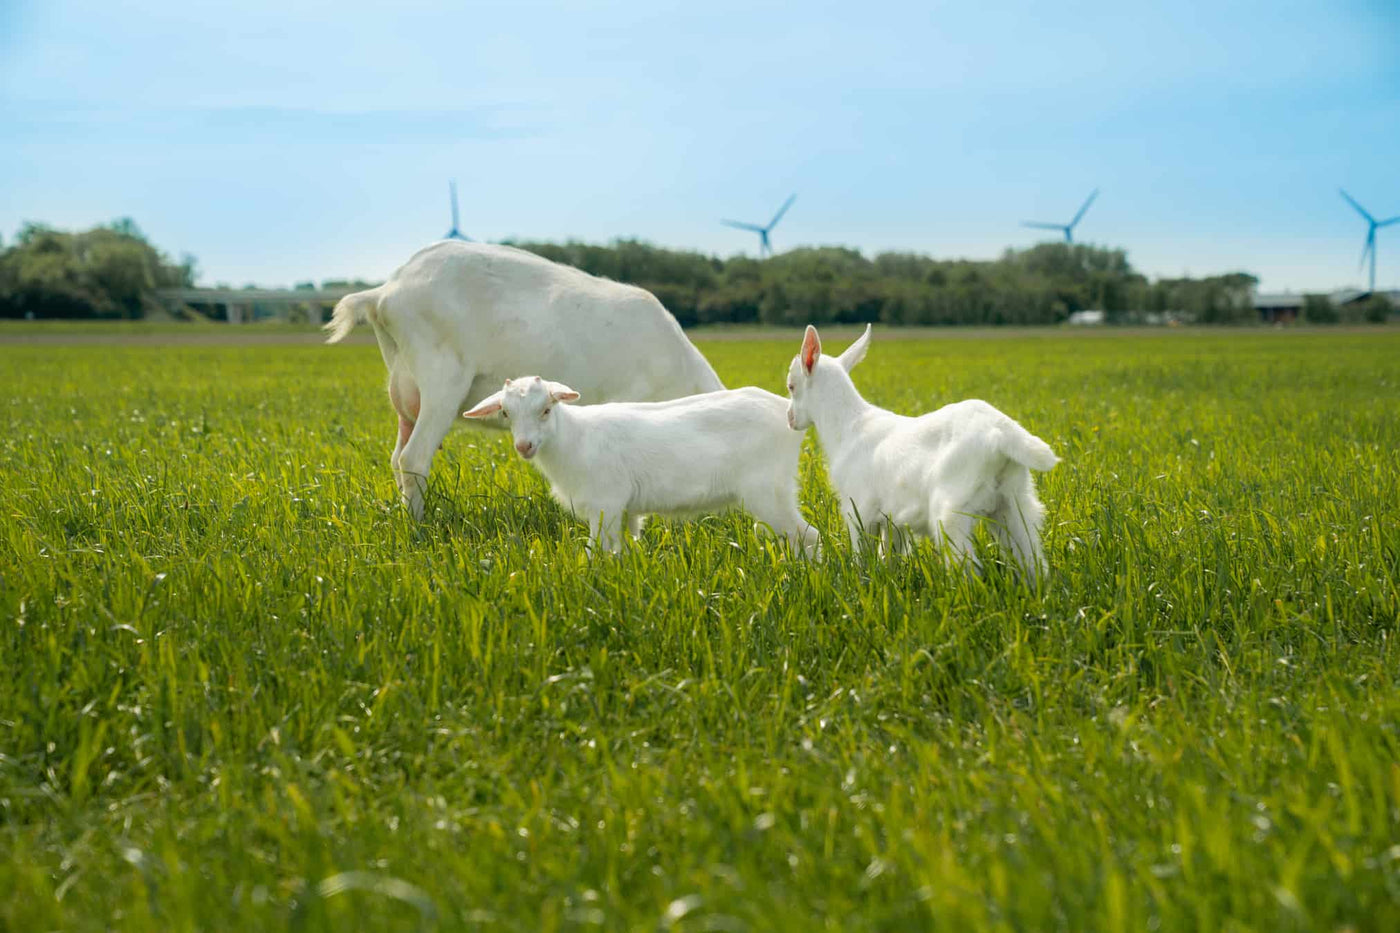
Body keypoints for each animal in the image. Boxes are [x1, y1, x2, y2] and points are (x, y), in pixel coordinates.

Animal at [324, 239, 722, 515]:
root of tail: (385, 292)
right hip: (442, 379)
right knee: (414, 458)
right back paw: (419, 529)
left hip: (406, 391)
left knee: (397, 457)